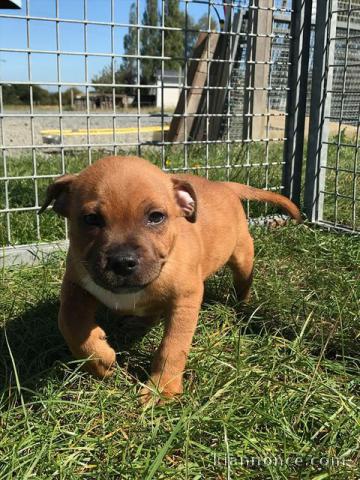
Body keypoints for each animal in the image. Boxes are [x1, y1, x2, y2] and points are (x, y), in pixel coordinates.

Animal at [39, 156, 300, 404]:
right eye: (91, 219)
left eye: (156, 217)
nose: (122, 261)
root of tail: (223, 185)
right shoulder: (75, 285)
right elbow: (69, 322)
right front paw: (99, 360)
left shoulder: (185, 300)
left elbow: (172, 347)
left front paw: (162, 389)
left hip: (242, 255)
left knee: (242, 283)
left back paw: (242, 308)